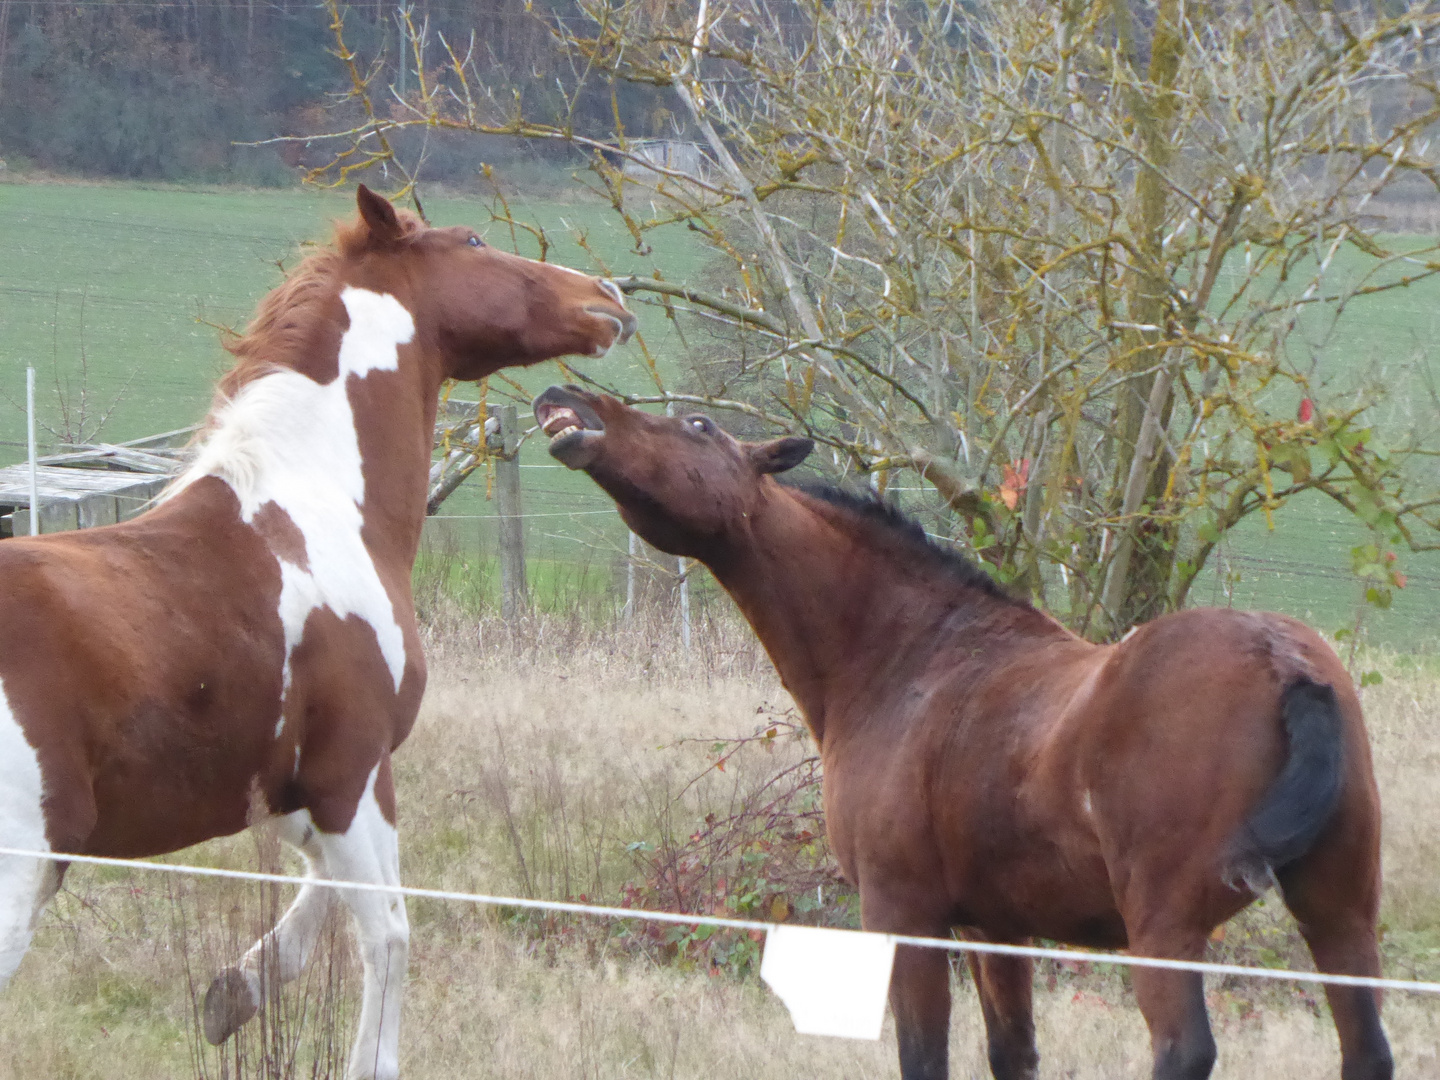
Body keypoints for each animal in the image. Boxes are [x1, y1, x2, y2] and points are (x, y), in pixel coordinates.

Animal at [0, 190, 636, 1077]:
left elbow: (317, 892)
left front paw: (235, 993)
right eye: (474, 240)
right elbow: (388, 934)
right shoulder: (353, 771)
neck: (312, 506)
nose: (608, 298)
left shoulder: (292, 786)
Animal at [532, 388, 1393, 1080]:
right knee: (1365, 1051)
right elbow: (1012, 1055)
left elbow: (925, 1057)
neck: (913, 657)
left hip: (1166, 929)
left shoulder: (903, 918)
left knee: (1185, 1051)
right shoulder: (995, 931)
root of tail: (1285, 661)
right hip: (1339, 916)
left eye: (699, 425)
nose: (563, 398)